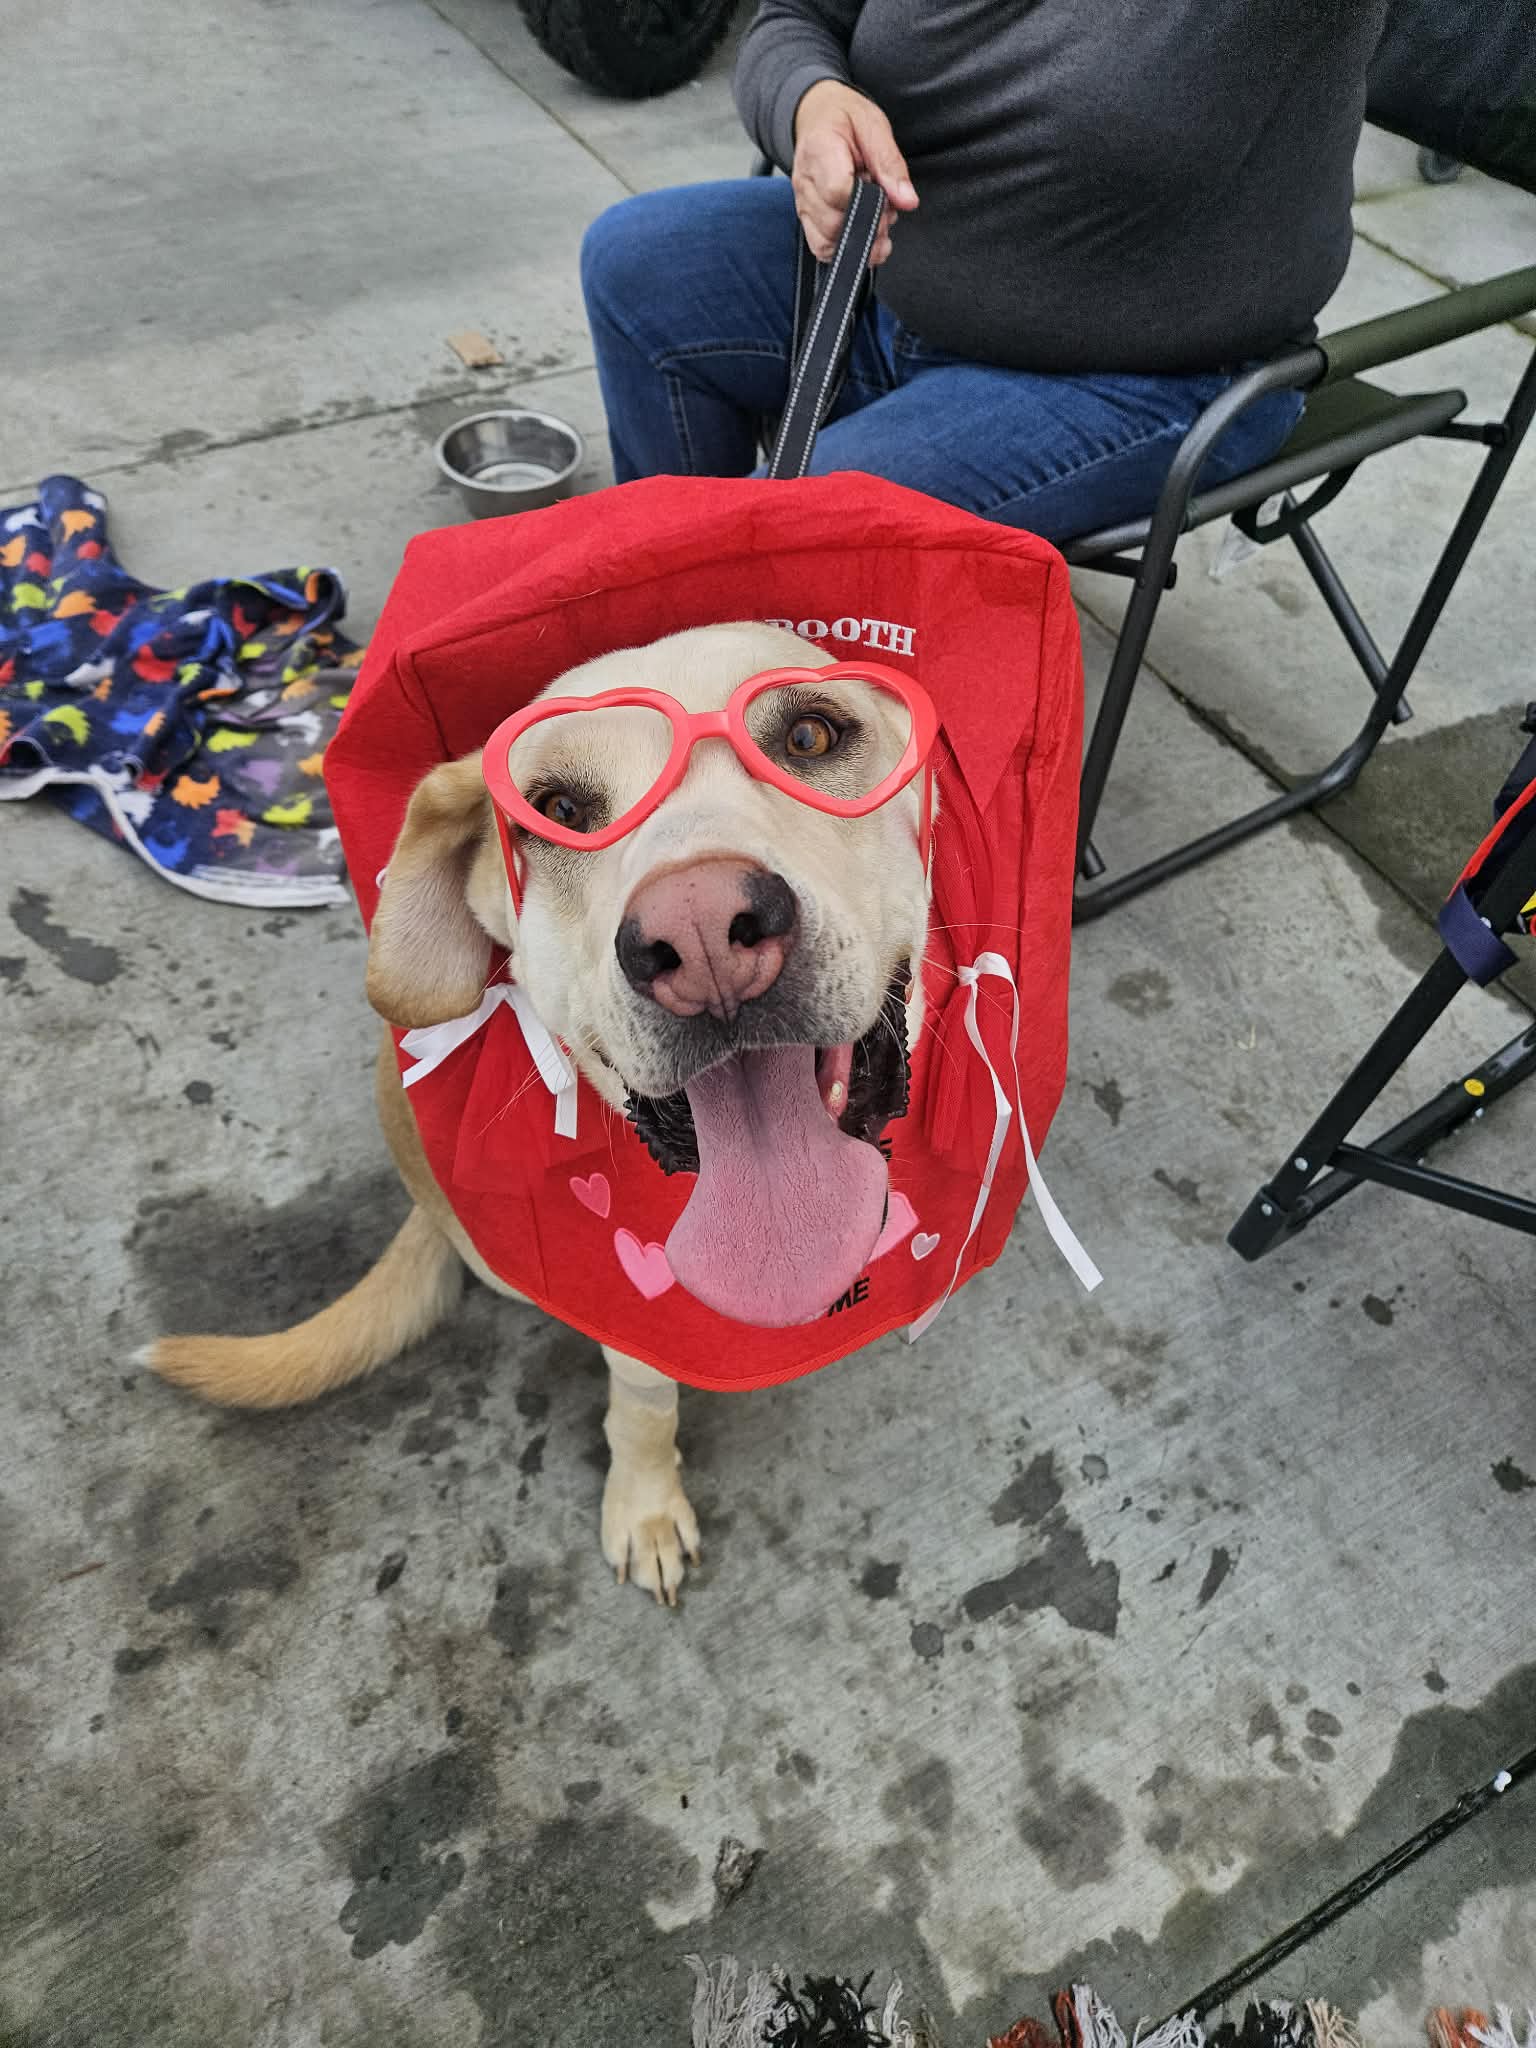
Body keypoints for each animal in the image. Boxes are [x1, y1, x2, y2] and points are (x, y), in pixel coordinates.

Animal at [144, 623, 932, 1603]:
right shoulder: (635, 1333)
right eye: (555, 807)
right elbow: (642, 1408)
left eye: (810, 736)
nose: (702, 932)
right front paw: (645, 1507)